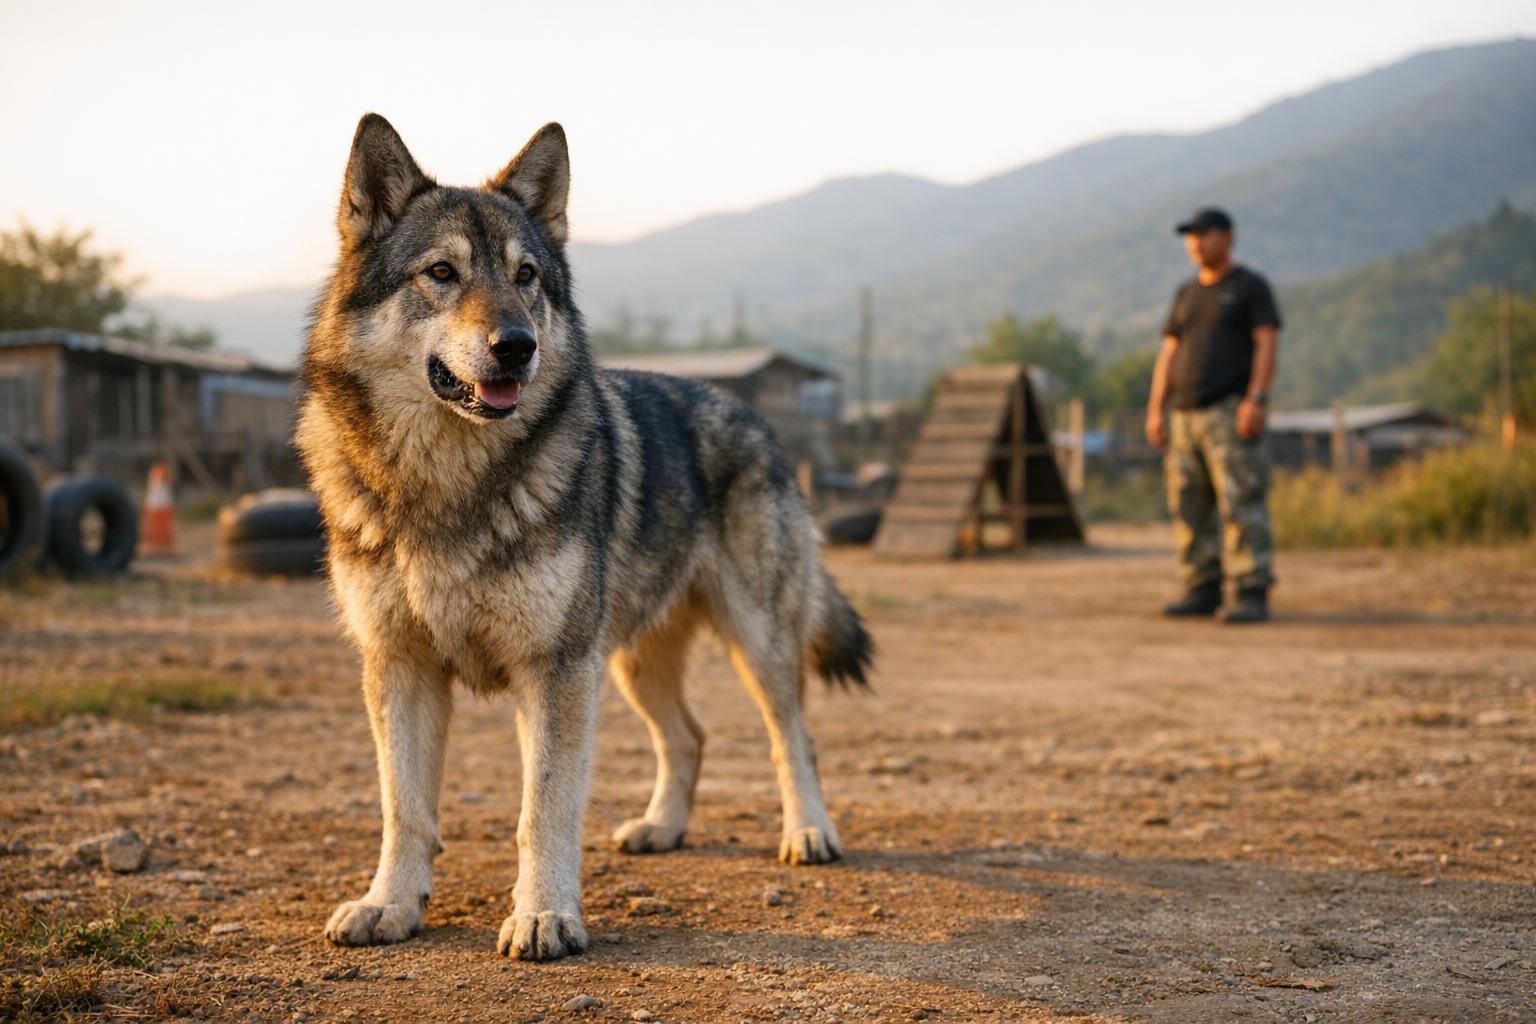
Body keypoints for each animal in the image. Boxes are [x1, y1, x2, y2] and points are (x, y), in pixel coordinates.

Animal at [296, 114, 872, 961]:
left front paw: (544, 916)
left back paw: (809, 833)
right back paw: (662, 828)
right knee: (689, 737)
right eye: (442, 273)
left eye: (527, 275)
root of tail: (752, 414)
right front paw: (389, 906)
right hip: (631, 664)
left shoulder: (556, 670)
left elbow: (544, 811)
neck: (449, 485)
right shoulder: (400, 666)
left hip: (752, 644)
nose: (515, 345)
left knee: (791, 737)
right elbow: (404, 809)